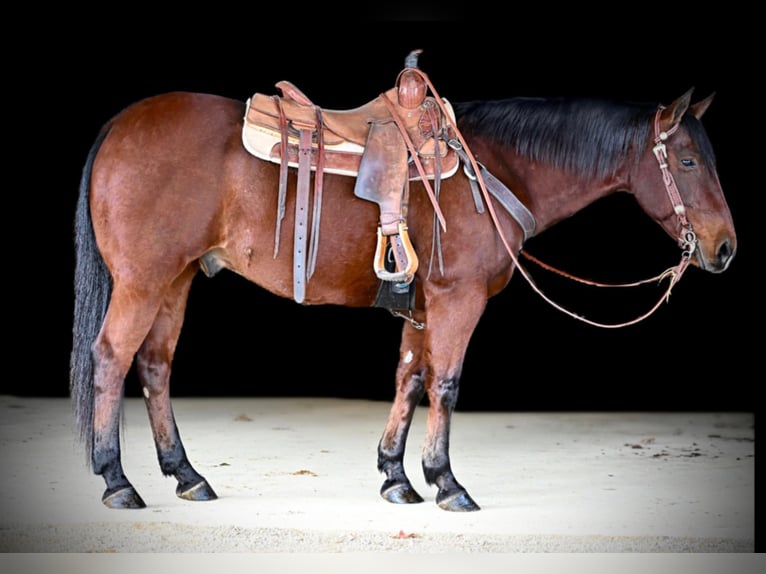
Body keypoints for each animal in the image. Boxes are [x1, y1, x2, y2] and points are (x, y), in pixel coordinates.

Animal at [70, 64, 736, 512]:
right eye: (687, 162)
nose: (726, 247)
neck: (495, 167)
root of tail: (118, 126)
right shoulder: (457, 298)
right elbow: (445, 383)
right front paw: (446, 481)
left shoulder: (422, 302)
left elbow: (410, 378)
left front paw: (395, 475)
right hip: (143, 280)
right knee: (112, 357)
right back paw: (116, 480)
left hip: (176, 277)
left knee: (155, 365)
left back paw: (187, 475)